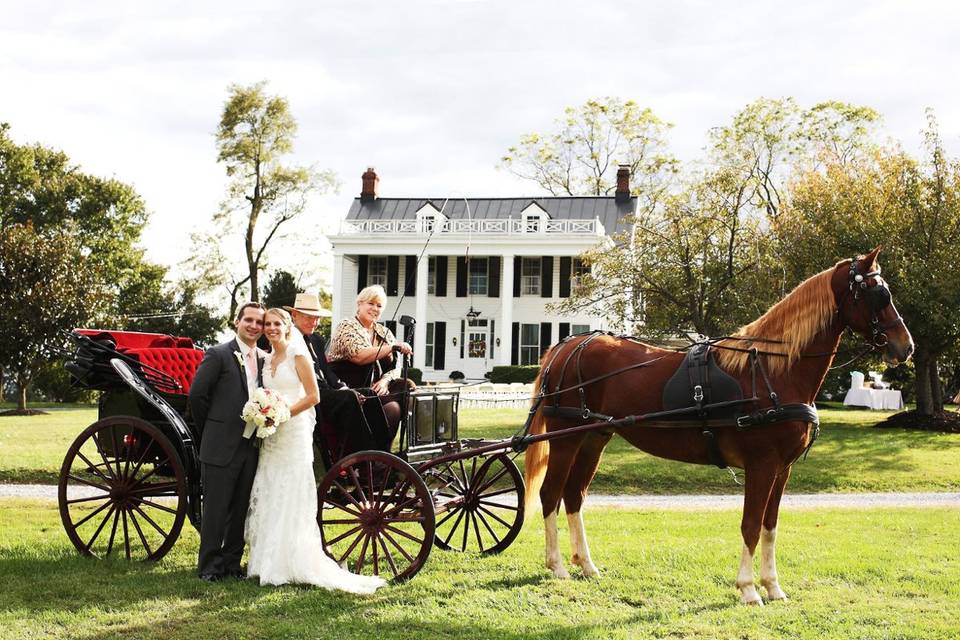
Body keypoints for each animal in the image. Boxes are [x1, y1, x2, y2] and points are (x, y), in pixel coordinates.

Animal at [524, 249, 916, 604]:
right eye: (878, 294)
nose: (906, 347)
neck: (773, 371)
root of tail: (567, 346)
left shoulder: (782, 469)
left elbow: (770, 527)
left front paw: (772, 586)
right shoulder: (762, 465)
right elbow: (750, 525)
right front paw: (748, 589)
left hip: (594, 438)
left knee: (574, 496)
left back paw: (586, 564)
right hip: (566, 440)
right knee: (551, 495)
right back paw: (557, 565)